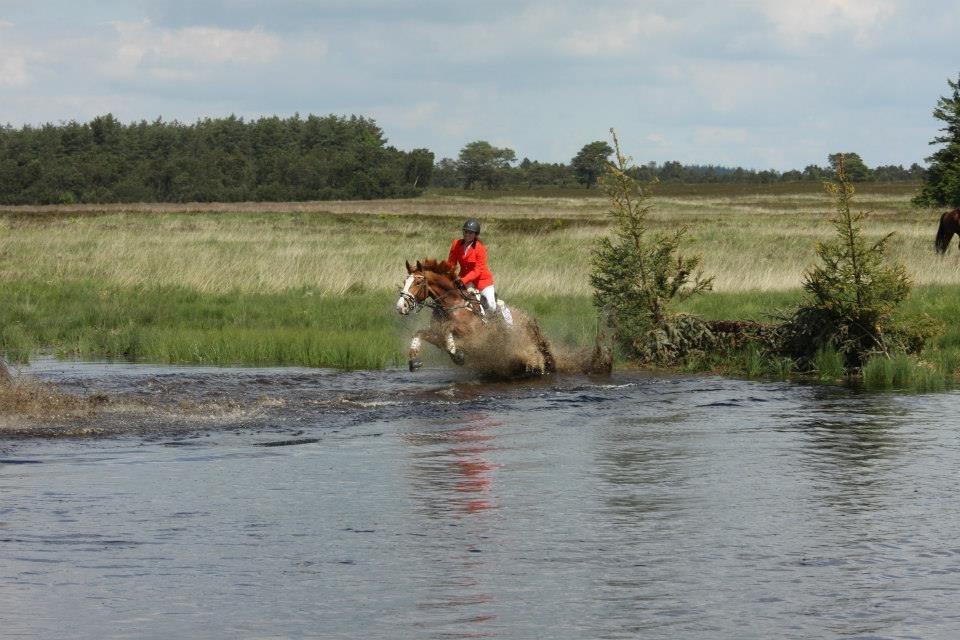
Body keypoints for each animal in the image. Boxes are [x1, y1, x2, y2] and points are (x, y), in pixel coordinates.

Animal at [396, 258, 556, 378]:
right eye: (404, 282)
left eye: (418, 283)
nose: (400, 306)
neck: (452, 305)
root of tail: (528, 319)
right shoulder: (438, 337)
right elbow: (419, 333)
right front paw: (414, 360)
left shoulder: (473, 335)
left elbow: (449, 329)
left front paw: (456, 353)